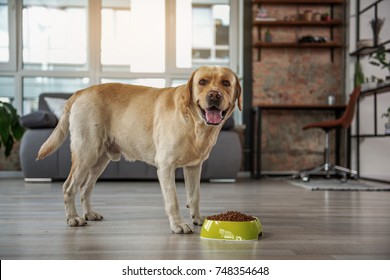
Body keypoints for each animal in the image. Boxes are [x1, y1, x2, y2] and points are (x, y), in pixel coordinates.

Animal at [38, 65, 242, 232]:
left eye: (226, 83)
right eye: (202, 82)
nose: (214, 95)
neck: (194, 122)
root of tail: (80, 91)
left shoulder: (193, 167)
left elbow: (194, 196)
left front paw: (198, 218)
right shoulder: (166, 166)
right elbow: (173, 201)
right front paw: (178, 224)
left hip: (99, 160)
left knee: (85, 188)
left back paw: (89, 214)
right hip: (86, 153)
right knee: (69, 187)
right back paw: (73, 218)